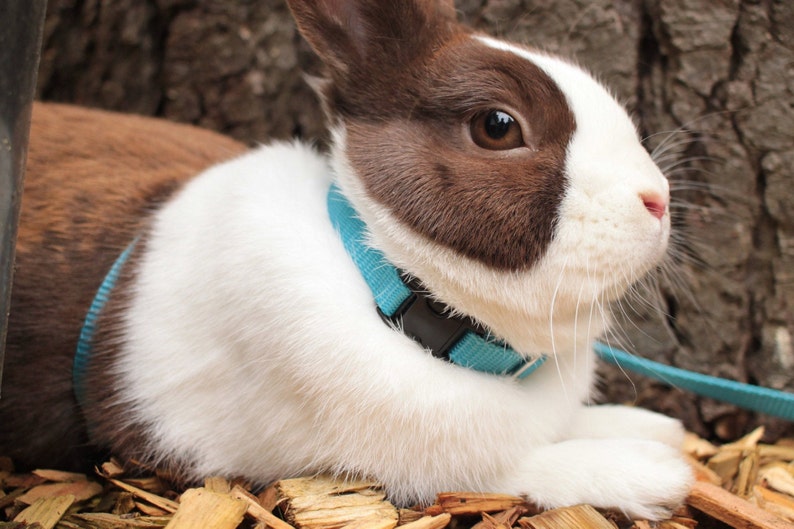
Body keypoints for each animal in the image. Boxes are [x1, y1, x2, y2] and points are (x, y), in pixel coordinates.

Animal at [0, 0, 693, 520]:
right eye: (497, 126)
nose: (658, 199)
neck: (396, 295)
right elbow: (504, 468)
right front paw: (653, 471)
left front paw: (646, 426)